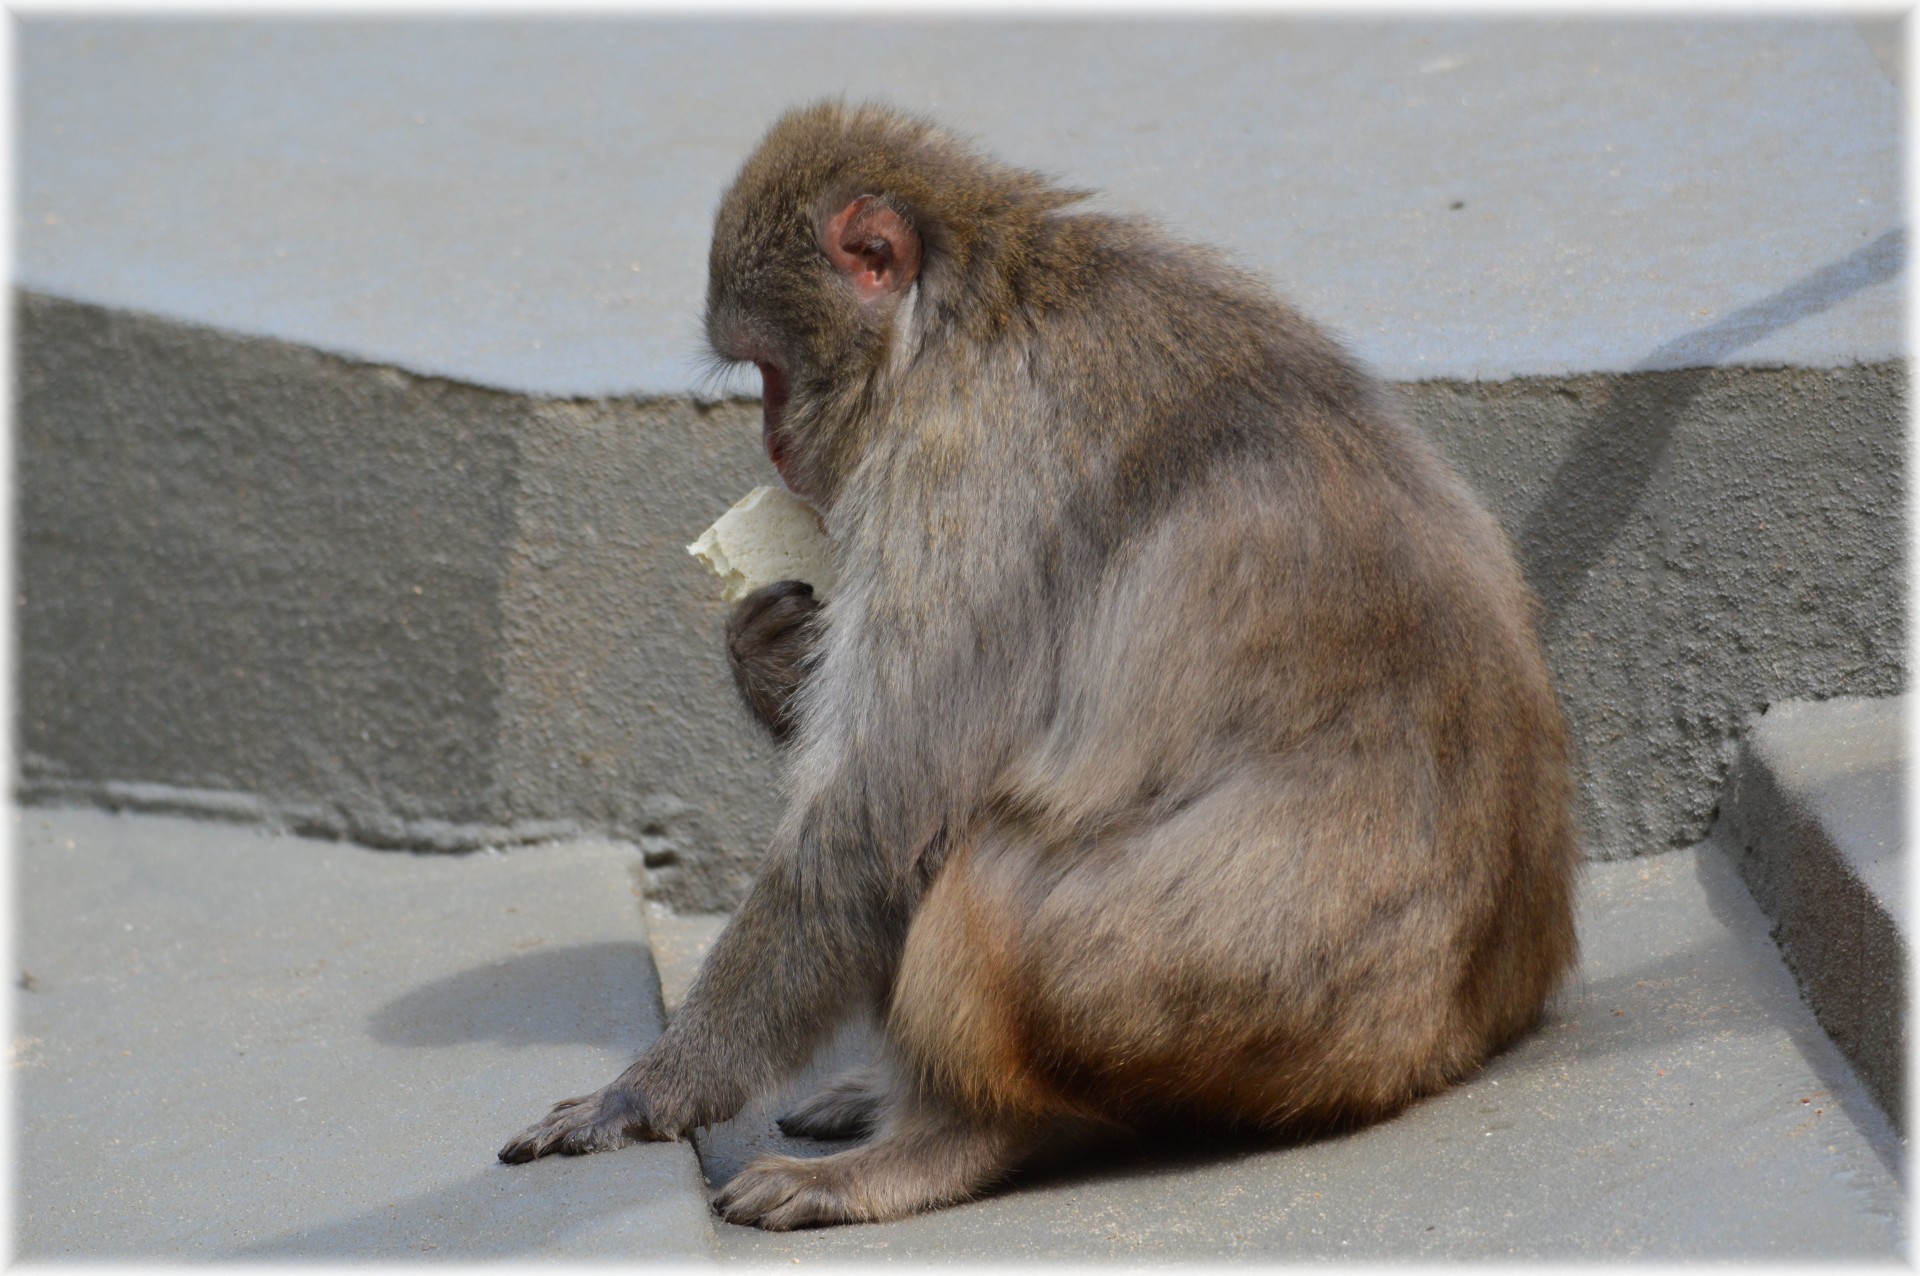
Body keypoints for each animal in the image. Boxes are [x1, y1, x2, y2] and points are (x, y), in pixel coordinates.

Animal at [499, 99, 1574, 1228]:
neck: (961, 308)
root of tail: (1449, 1034)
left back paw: (947, 1138)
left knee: (982, 863)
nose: (773, 443)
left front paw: (652, 1091)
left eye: (766, 369)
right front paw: (767, 650)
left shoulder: (957, 464)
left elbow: (874, 817)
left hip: (1214, 997)